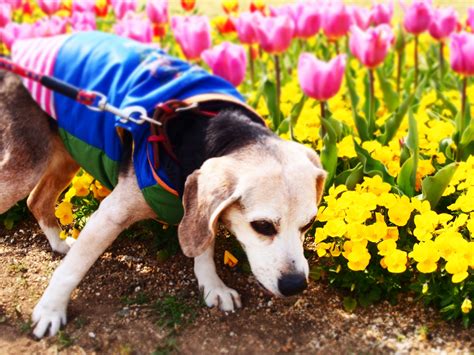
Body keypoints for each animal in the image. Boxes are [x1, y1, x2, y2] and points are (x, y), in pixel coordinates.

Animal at [0, 32, 326, 340]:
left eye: (309, 224)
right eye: (262, 226)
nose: (296, 285)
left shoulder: (197, 207)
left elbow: (203, 245)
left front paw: (212, 285)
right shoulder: (110, 215)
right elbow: (72, 269)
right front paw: (50, 310)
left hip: (66, 154)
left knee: (37, 201)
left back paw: (58, 243)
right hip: (27, 166)